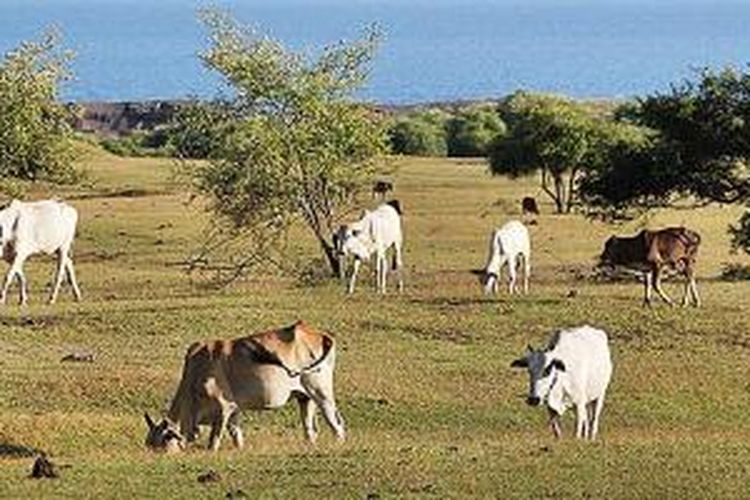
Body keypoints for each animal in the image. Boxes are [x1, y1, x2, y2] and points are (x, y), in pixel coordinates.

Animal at [144, 320, 346, 454]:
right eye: (148, 443)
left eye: (162, 443)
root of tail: (321, 335)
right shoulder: (234, 410)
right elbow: (236, 434)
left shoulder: (223, 409)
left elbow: (214, 440)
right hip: (305, 397)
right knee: (310, 428)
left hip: (321, 393)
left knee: (336, 422)